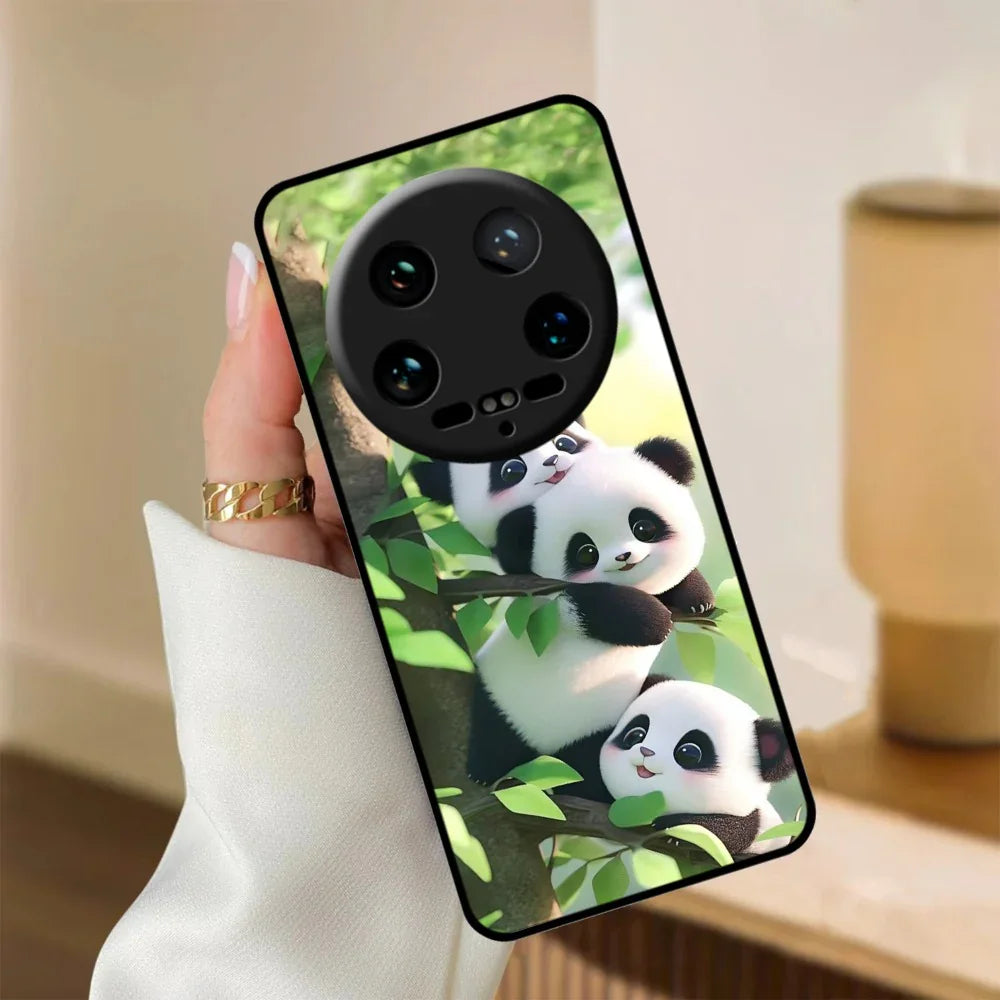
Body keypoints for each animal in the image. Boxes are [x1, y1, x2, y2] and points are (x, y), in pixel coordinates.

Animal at [468, 437, 713, 791]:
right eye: (586, 552)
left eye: (643, 526)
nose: (624, 557)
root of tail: (545, 751)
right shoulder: (547, 598)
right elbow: (588, 606)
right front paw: (655, 621)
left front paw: (698, 599)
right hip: (501, 698)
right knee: (493, 731)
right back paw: (482, 770)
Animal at [600, 678, 795, 856]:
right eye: (636, 735)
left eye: (688, 753)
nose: (646, 751)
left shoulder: (752, 824)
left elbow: (728, 831)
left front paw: (673, 828)